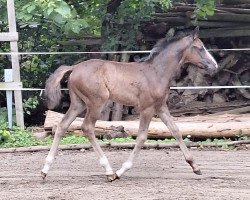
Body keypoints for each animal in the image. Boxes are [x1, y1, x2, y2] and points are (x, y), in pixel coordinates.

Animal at [41, 27, 217, 182]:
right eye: (200, 48)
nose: (214, 66)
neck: (156, 72)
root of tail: (74, 68)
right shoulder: (147, 109)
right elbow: (141, 137)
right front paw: (121, 171)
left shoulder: (160, 107)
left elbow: (176, 131)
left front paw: (195, 166)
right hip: (96, 103)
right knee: (87, 128)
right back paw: (109, 171)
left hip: (79, 104)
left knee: (62, 126)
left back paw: (44, 170)